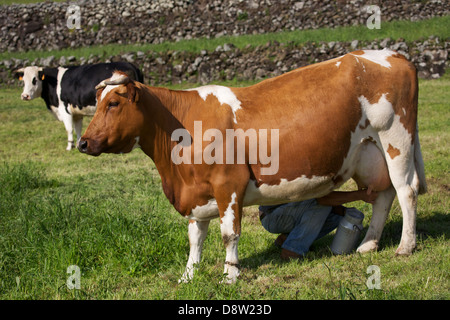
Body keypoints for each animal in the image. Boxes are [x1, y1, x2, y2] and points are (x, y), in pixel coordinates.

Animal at [79, 48, 428, 284]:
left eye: (114, 103)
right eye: (96, 103)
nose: (82, 143)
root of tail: (392, 54)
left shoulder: (228, 185)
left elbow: (229, 234)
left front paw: (230, 276)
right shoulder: (195, 194)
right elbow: (195, 238)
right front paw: (188, 276)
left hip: (396, 138)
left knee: (406, 190)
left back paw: (405, 247)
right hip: (370, 152)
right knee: (383, 193)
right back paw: (368, 244)